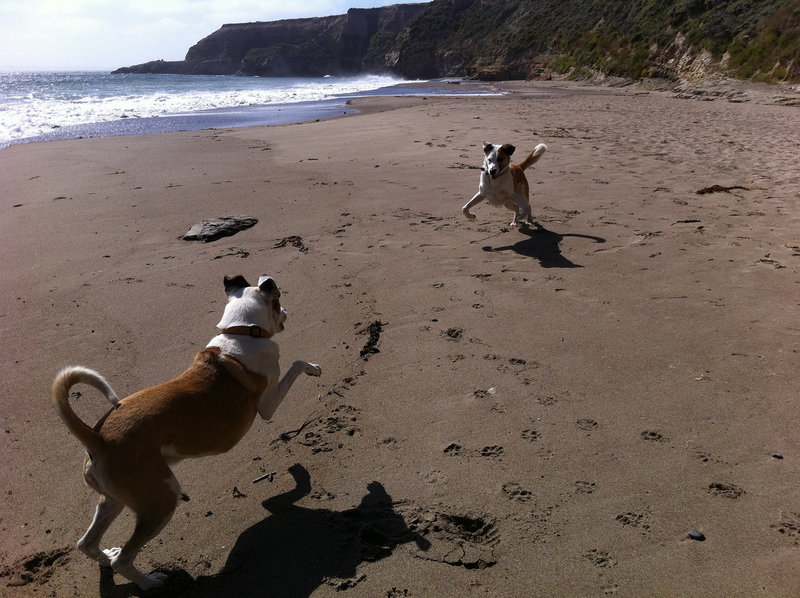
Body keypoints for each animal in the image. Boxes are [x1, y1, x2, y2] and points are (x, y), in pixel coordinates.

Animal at [52, 274, 322, 592]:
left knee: (87, 543)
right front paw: (313, 367)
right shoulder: (268, 405)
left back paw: (106, 557)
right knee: (124, 559)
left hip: (114, 500)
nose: (287, 312)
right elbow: (296, 365)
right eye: (278, 302)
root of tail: (97, 439)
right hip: (162, 499)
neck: (241, 331)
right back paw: (150, 582)